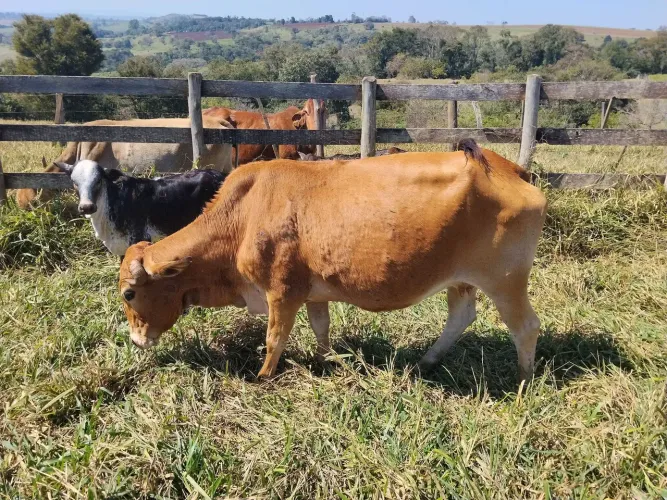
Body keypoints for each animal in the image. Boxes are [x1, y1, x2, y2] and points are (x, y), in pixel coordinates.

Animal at [118, 140, 547, 382]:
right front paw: (330, 361)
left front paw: (262, 377)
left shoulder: (282, 292)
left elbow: (275, 338)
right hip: (462, 280)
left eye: (129, 294)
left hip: (505, 281)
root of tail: (509, 168)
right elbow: (321, 329)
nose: (136, 341)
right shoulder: (313, 293)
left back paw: (523, 378)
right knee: (460, 317)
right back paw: (427, 361)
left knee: (526, 327)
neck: (243, 214)